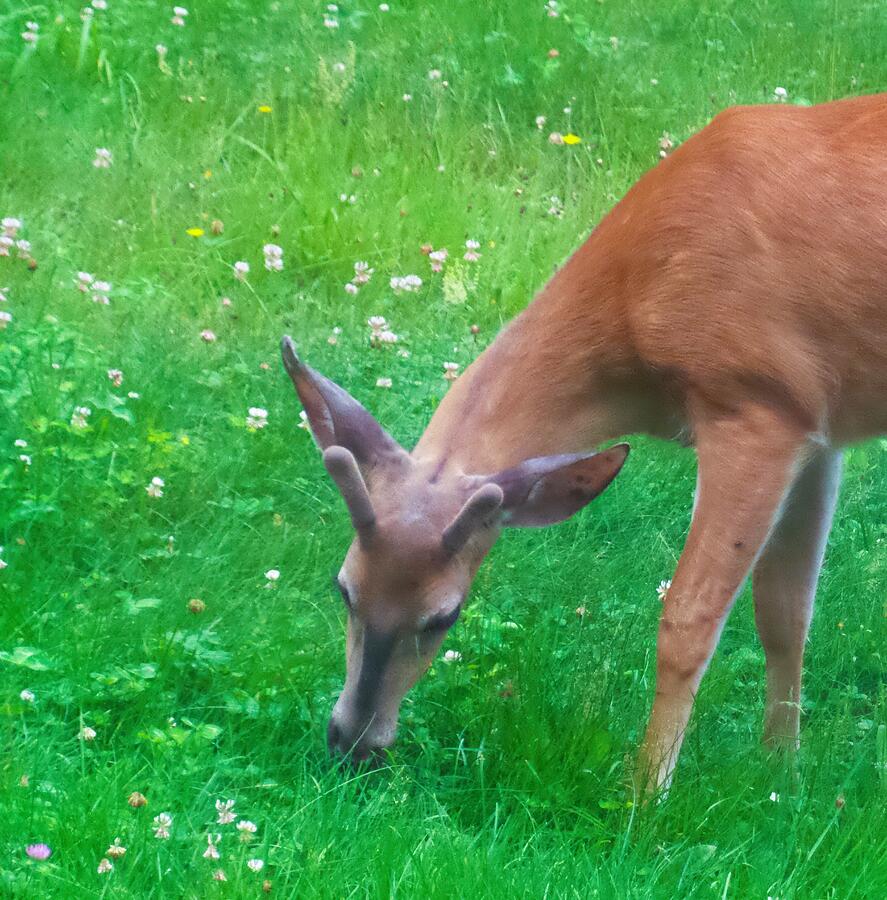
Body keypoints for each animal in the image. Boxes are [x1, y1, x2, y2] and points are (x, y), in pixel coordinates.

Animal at [282, 93, 887, 796]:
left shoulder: (756, 403)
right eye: (343, 587)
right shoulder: (820, 429)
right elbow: (786, 612)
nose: (352, 744)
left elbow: (688, 618)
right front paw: (781, 772)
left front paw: (645, 794)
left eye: (445, 616)